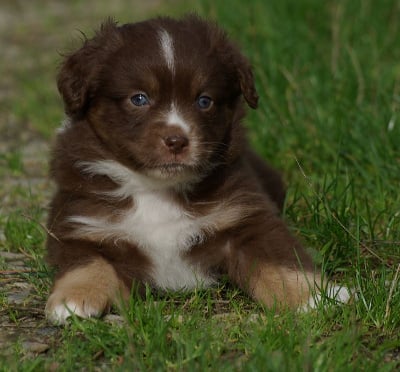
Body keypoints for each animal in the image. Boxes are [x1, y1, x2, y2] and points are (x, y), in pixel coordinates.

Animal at [44, 15, 350, 322]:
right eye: (139, 98)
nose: (177, 141)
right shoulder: (80, 227)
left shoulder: (245, 218)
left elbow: (281, 261)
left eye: (204, 100)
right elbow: (87, 264)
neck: (156, 189)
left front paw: (318, 297)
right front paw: (73, 299)